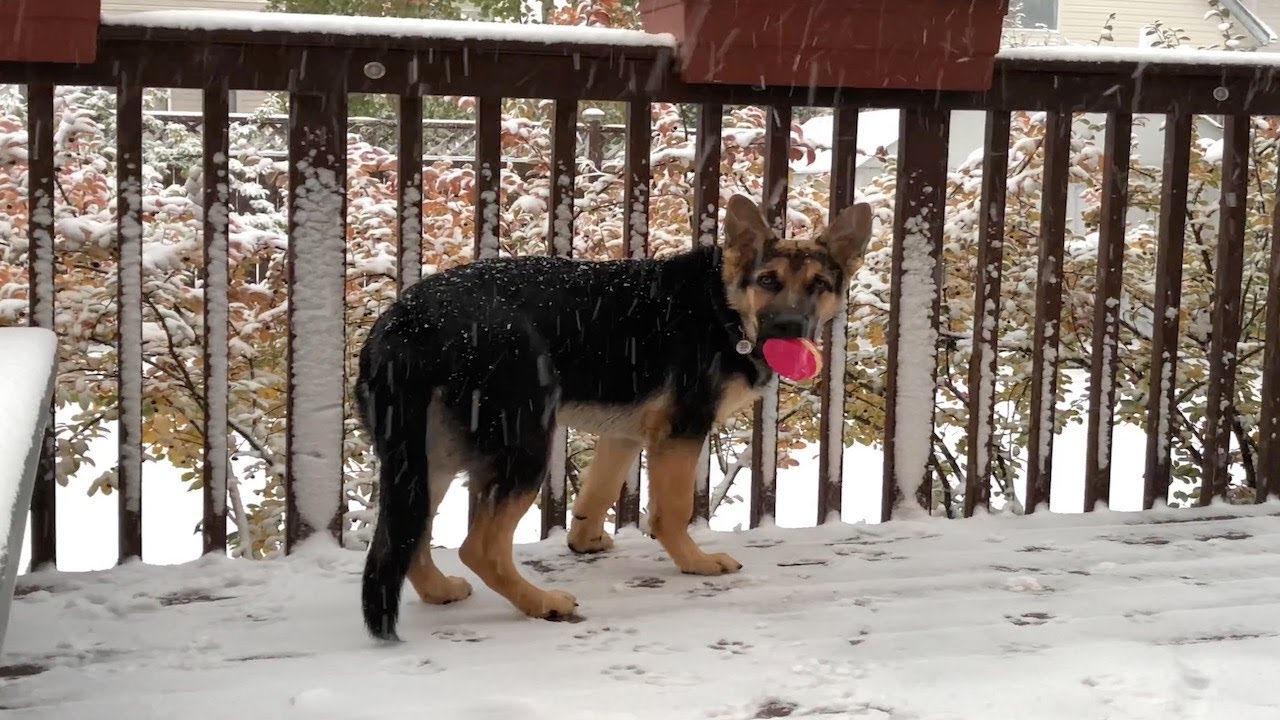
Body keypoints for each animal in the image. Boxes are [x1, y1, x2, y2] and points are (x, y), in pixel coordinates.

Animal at [366, 193, 875, 635]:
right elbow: (672, 510)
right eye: (768, 281)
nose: (789, 329)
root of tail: (410, 320)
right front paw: (695, 562)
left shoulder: (625, 436)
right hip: (524, 445)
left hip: (428, 458)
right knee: (479, 548)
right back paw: (542, 603)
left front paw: (585, 541)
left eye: (819, 286)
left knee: (406, 533)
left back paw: (438, 589)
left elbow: (598, 492)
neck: (724, 307)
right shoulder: (681, 433)